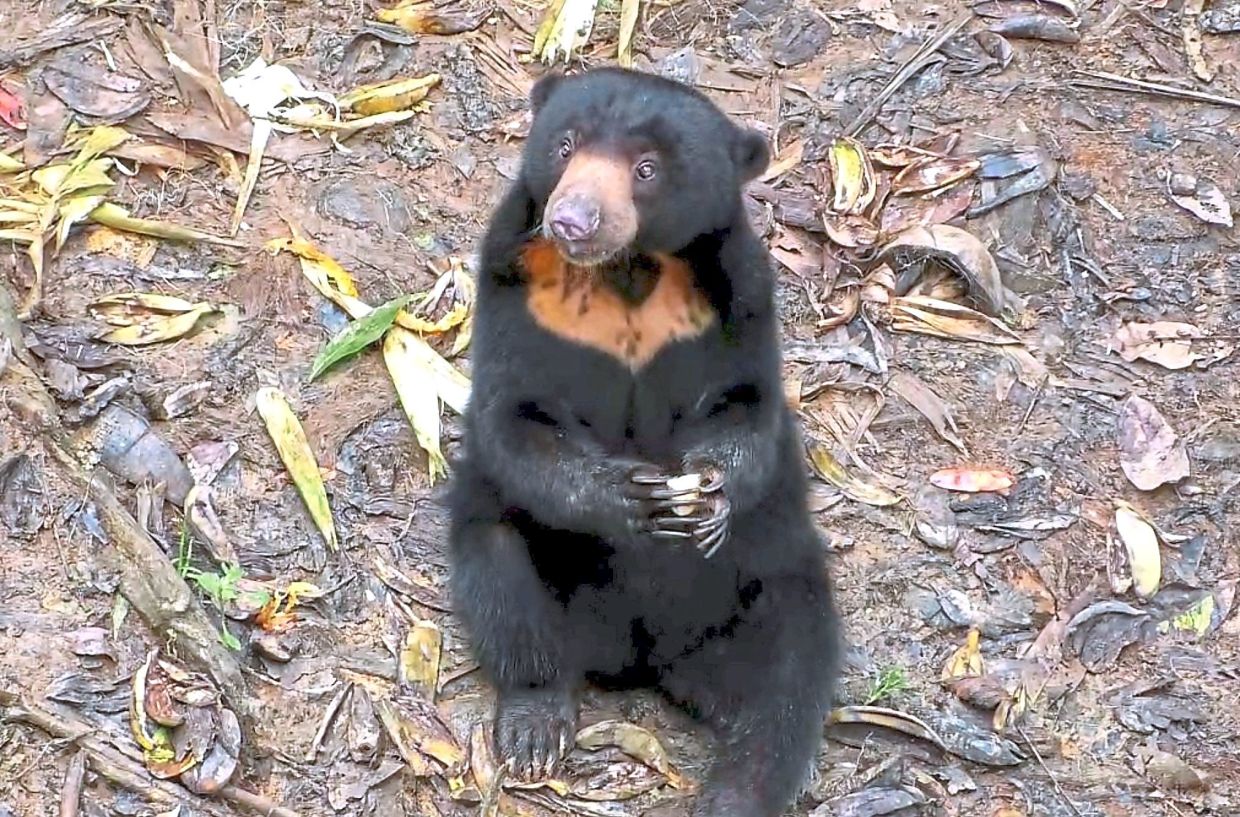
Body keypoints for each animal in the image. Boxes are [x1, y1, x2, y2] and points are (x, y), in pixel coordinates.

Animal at [447, 67, 840, 817]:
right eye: (565, 144)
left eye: (647, 168)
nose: (572, 220)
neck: (626, 272)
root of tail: (646, 658)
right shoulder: (513, 289)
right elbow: (513, 417)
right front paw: (629, 497)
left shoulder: (739, 296)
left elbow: (749, 407)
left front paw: (707, 494)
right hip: (529, 572)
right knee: (502, 577)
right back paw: (537, 726)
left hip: (771, 577)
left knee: (788, 679)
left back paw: (736, 790)